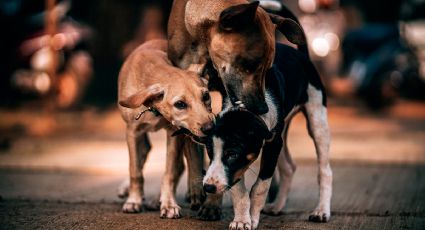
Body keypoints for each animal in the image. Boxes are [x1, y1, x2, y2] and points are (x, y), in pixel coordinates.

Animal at [117, 39, 214, 217]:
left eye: (206, 96)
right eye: (180, 104)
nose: (210, 128)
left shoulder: (174, 133)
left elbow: (169, 173)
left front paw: (168, 204)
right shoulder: (133, 132)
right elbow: (135, 170)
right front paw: (133, 201)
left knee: (183, 164)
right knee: (143, 154)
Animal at [200, 41, 332, 230]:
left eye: (232, 154)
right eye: (210, 153)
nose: (209, 187)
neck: (247, 105)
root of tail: (302, 54)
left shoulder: (272, 144)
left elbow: (260, 187)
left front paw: (252, 218)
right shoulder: (267, 147)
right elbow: (239, 190)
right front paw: (242, 220)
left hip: (317, 119)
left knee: (324, 171)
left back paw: (321, 211)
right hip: (283, 132)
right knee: (289, 167)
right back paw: (277, 206)